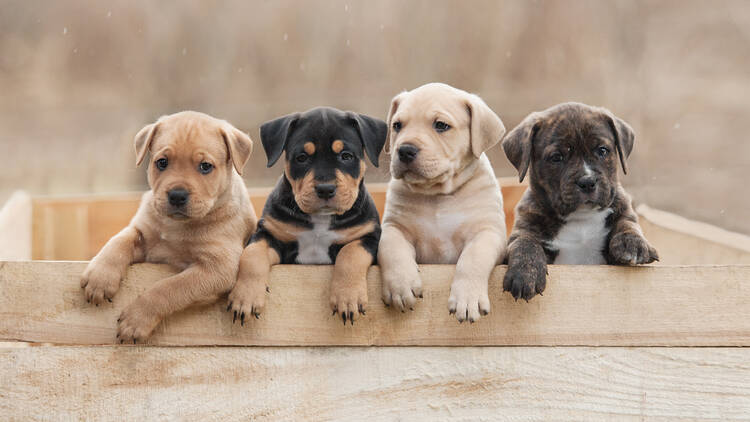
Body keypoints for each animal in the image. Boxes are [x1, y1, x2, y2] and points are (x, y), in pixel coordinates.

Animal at [79, 111, 256, 342]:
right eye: (162, 162)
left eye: (205, 166)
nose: (177, 195)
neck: (177, 226)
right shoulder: (143, 234)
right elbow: (119, 240)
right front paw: (100, 277)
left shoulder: (218, 268)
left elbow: (169, 288)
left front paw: (136, 319)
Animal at [229, 107, 388, 324]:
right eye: (302, 158)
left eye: (346, 156)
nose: (325, 189)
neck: (320, 219)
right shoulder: (270, 236)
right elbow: (251, 256)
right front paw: (245, 298)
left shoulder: (368, 236)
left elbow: (350, 253)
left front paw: (348, 298)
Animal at [378, 83, 508, 324]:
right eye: (397, 125)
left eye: (441, 125)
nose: (405, 150)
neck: (438, 194)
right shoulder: (393, 226)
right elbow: (391, 248)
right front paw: (401, 285)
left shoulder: (487, 232)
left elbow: (473, 257)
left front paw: (468, 298)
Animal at [502, 102, 660, 300]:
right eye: (557, 157)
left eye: (602, 150)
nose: (587, 181)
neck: (581, 218)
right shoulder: (524, 229)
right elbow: (525, 243)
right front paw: (524, 273)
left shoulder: (622, 212)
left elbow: (627, 224)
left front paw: (633, 243)